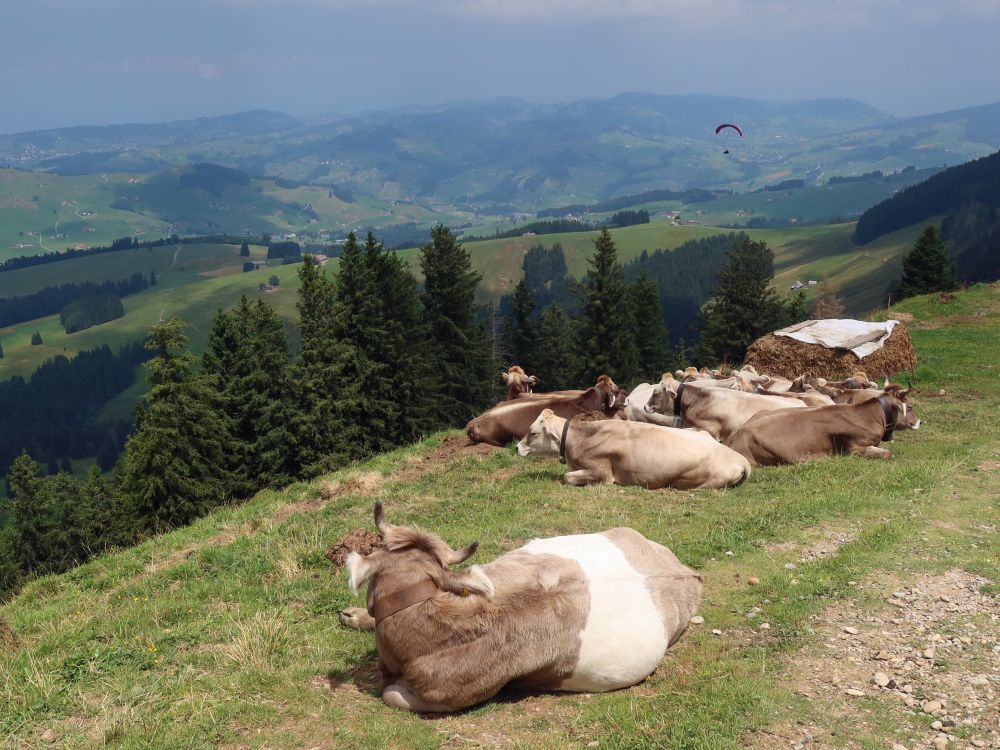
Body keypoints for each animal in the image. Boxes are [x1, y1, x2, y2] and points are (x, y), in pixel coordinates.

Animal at [720, 384, 920, 468]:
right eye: (909, 407)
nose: (920, 421)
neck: (869, 416)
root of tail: (735, 435)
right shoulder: (854, 448)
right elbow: (887, 453)